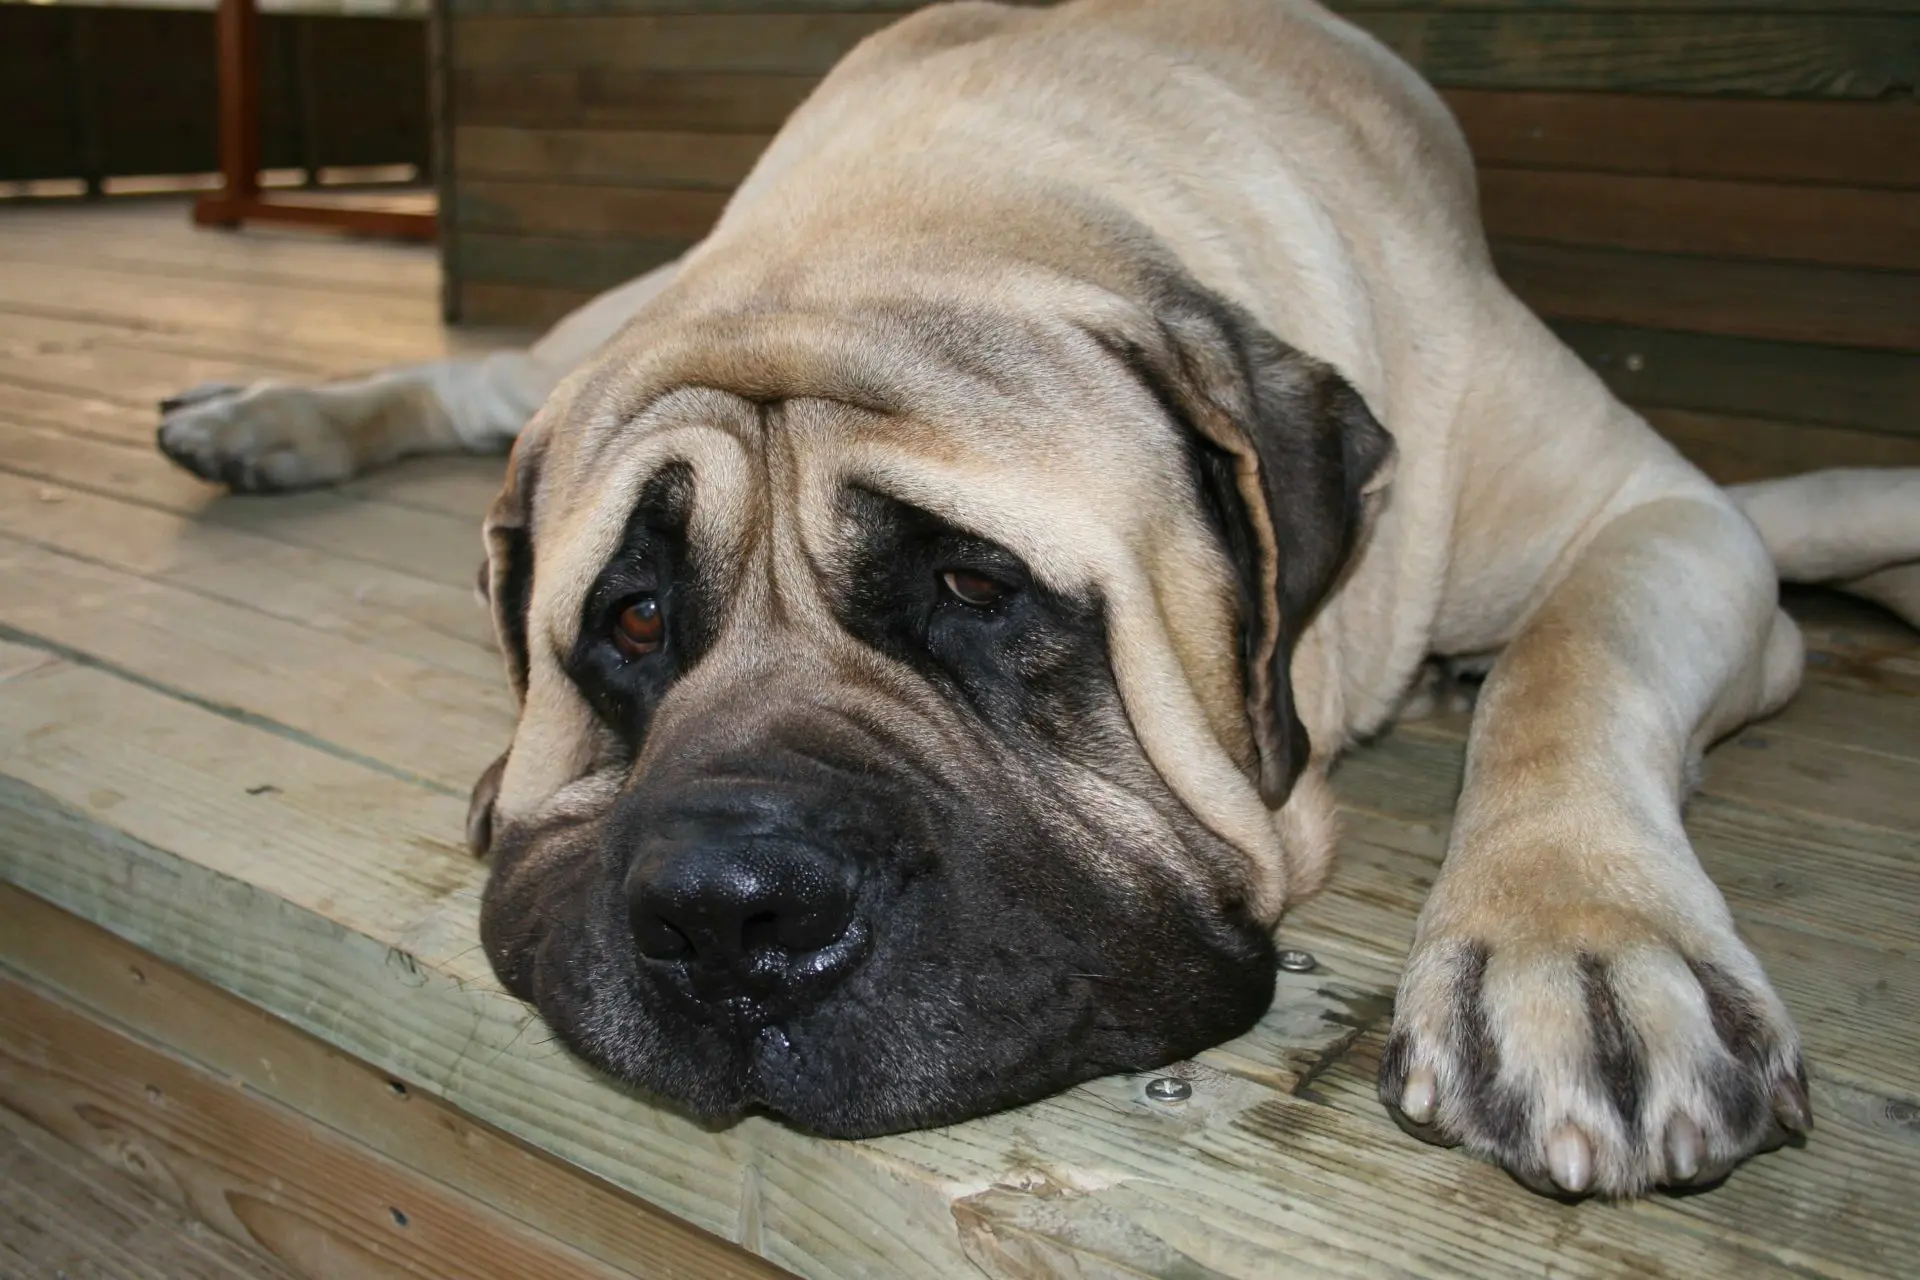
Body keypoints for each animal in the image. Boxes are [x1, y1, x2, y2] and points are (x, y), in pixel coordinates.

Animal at [157, 0, 1912, 1205]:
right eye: (632, 622)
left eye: (975, 586)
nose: (730, 914)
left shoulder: (1663, 518)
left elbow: (1574, 663)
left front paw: (1577, 948)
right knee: (491, 378)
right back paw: (262, 416)